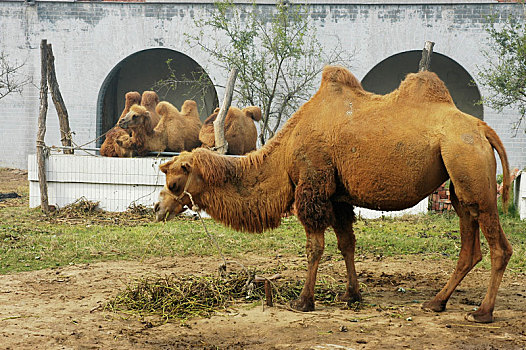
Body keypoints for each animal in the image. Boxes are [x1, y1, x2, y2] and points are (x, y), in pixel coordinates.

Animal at [162, 65, 516, 322]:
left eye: (174, 183)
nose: (159, 210)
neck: (284, 153)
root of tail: (483, 129)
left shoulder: (312, 185)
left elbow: (314, 247)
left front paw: (303, 301)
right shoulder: (337, 196)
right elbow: (347, 244)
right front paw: (351, 295)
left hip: (469, 166)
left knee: (499, 246)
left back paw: (482, 313)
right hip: (459, 181)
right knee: (470, 243)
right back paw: (436, 303)